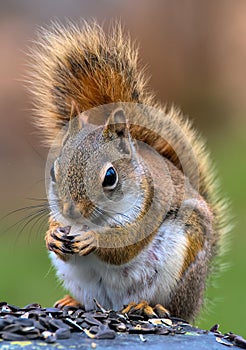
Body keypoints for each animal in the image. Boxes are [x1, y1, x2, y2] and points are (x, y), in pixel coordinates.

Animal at [28, 19, 227, 320]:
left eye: (110, 177)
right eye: (54, 172)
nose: (71, 210)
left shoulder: (150, 207)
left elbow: (125, 246)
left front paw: (94, 239)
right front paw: (52, 235)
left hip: (182, 267)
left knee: (171, 308)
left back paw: (148, 305)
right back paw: (73, 301)